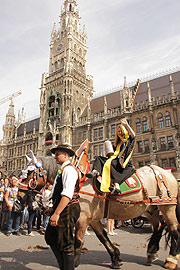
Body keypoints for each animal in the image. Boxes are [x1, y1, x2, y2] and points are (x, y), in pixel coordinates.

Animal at [21, 149, 180, 268]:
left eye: (29, 173)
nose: (21, 194)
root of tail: (164, 172)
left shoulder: (83, 218)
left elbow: (78, 241)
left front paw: (75, 262)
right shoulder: (93, 219)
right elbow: (103, 237)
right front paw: (116, 258)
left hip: (167, 206)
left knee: (174, 228)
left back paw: (171, 260)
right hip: (150, 208)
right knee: (159, 225)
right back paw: (152, 252)